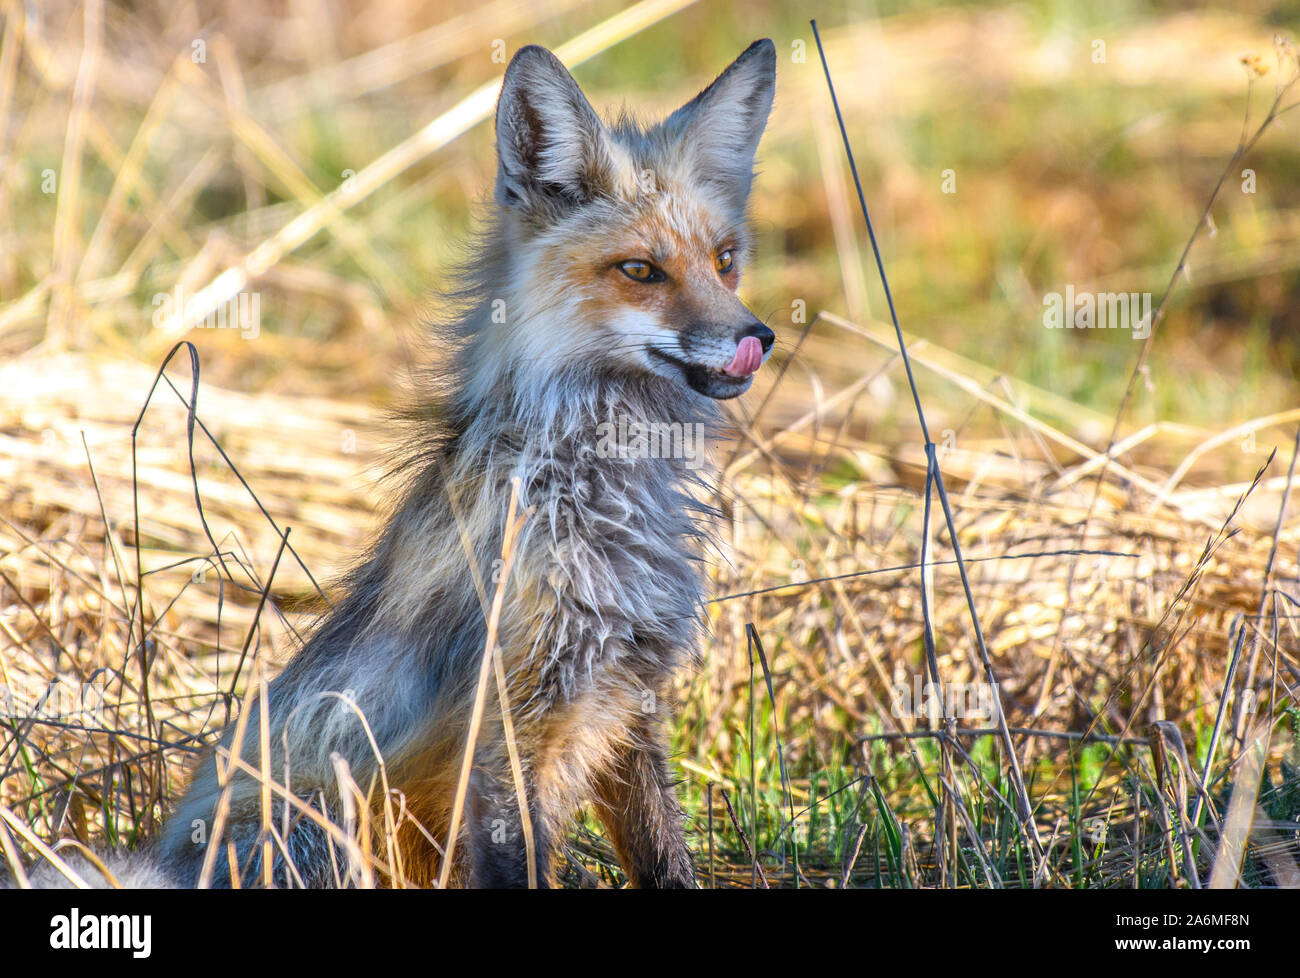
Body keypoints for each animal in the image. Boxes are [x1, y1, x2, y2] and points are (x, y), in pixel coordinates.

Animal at [27, 38, 777, 889]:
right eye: (642, 271)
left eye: (725, 260)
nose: (758, 337)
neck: (598, 498)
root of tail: (173, 866)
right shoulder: (507, 727)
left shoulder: (627, 699)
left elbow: (665, 857)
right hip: (327, 829)